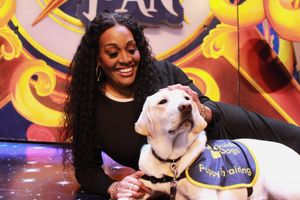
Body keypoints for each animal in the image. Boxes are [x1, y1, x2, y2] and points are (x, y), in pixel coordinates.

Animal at [135, 88, 300, 200]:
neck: (173, 160)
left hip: (280, 186)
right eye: (162, 101)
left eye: (187, 97)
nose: (186, 106)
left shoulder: (206, 195)